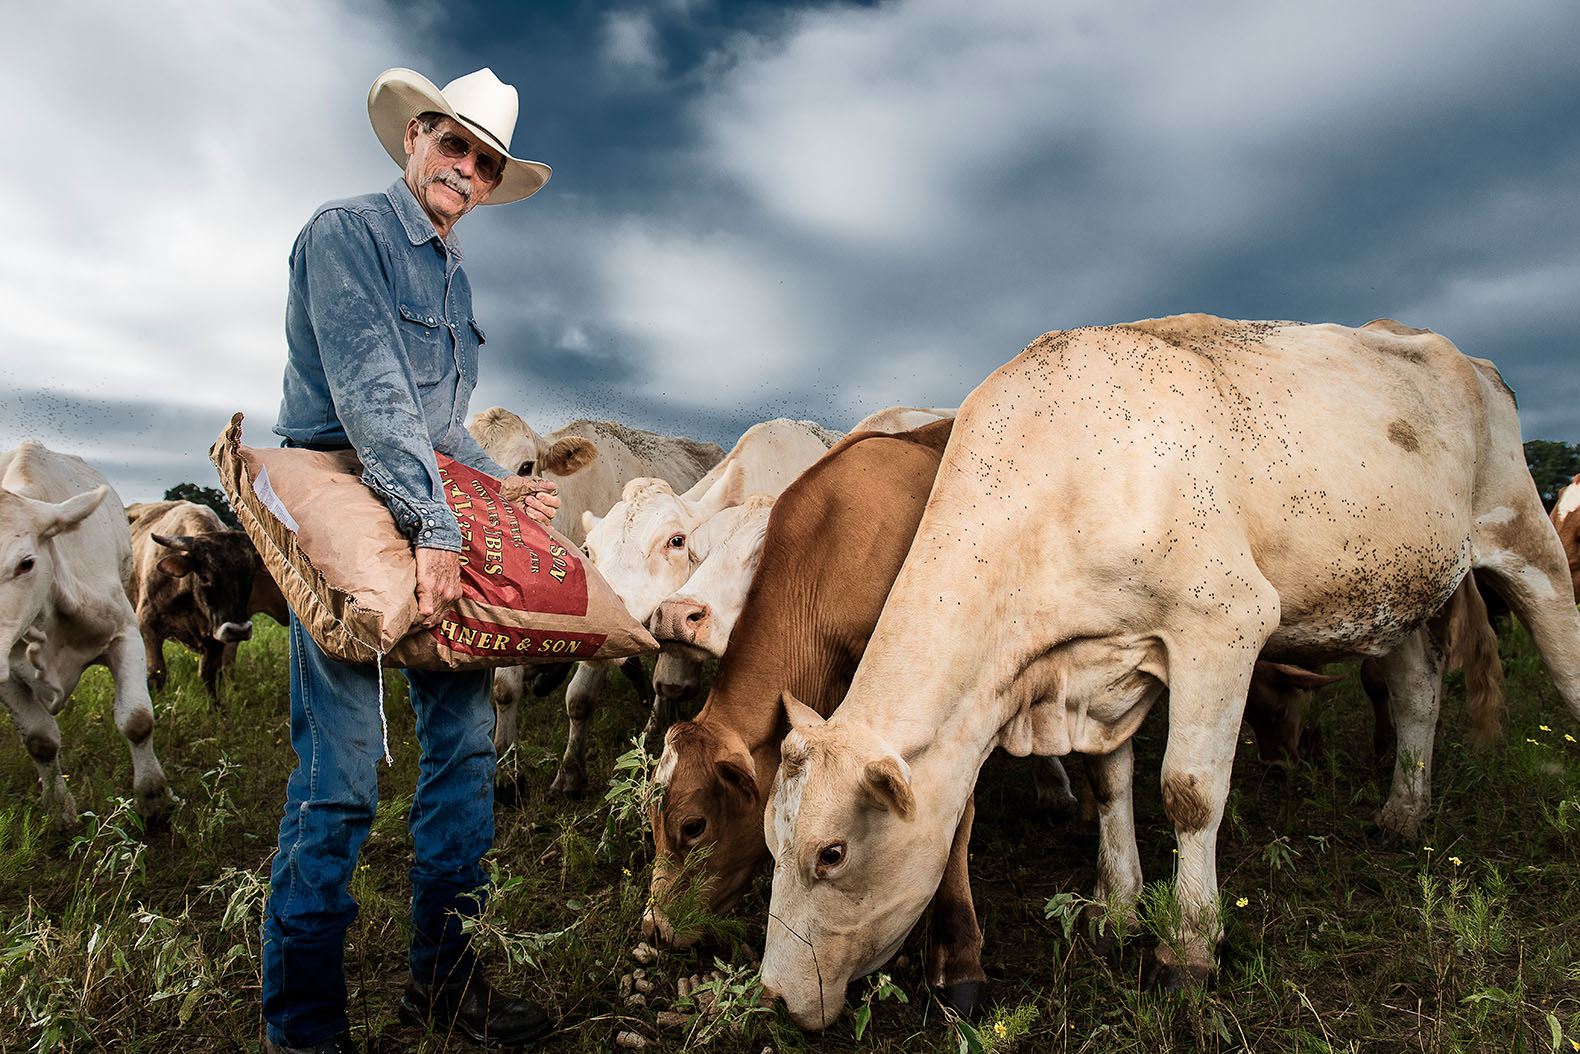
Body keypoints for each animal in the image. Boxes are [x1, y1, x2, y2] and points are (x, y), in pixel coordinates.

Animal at [127, 502, 263, 701]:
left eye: (251, 576)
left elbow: (209, 675)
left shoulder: (215, 636)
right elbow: (156, 675)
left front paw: (216, 708)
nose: (238, 630)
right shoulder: (147, 624)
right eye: (205, 577)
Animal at [758, 317, 1580, 1036]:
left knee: (1564, 661)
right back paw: (1403, 811)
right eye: (770, 845)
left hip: (1524, 537)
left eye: (831, 854)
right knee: (1416, 691)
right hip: (1402, 591)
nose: (773, 996)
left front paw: (1186, 949)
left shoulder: (1223, 624)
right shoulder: (1105, 665)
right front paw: (1117, 909)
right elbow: (1109, 782)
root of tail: (1459, 354)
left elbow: (1188, 793)